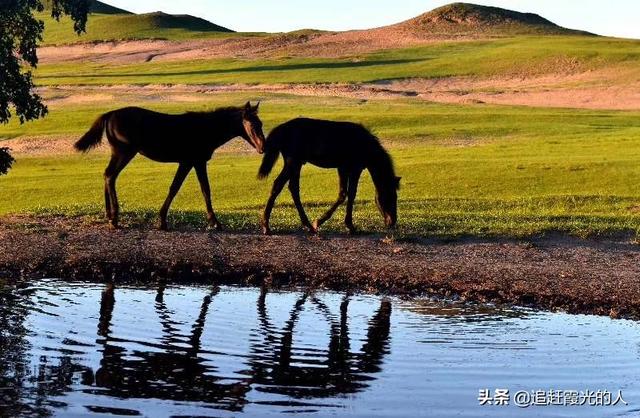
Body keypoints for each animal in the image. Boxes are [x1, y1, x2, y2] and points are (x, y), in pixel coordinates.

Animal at [75, 102, 264, 230]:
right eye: (252, 124)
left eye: (260, 124)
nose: (262, 147)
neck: (205, 129)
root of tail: (110, 114)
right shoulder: (192, 161)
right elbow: (185, 188)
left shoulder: (194, 162)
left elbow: (197, 189)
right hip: (124, 152)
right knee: (110, 176)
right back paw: (114, 219)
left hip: (118, 153)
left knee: (107, 174)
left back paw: (108, 215)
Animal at [256, 117, 398, 235]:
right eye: (391, 197)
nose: (393, 221)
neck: (364, 144)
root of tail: (282, 128)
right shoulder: (351, 169)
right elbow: (347, 194)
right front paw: (327, 223)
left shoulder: (346, 169)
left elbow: (346, 194)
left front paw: (346, 225)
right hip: (293, 162)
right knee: (278, 185)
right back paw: (266, 226)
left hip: (296, 164)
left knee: (293, 188)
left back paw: (308, 225)